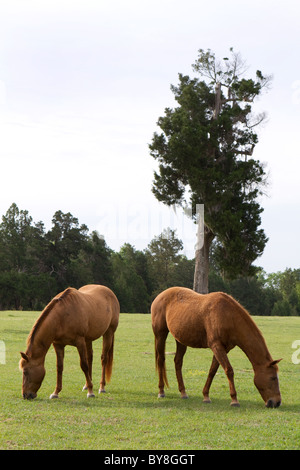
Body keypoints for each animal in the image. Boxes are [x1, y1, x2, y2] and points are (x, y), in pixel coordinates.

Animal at [151, 286, 282, 408]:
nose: (277, 402)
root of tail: (160, 296)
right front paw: (234, 400)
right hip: (160, 335)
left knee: (178, 362)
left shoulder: (223, 349)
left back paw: (183, 393)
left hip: (181, 340)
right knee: (161, 360)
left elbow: (212, 371)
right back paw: (161, 391)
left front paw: (206, 396)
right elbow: (229, 370)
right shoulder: (216, 346)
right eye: (273, 378)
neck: (228, 315)